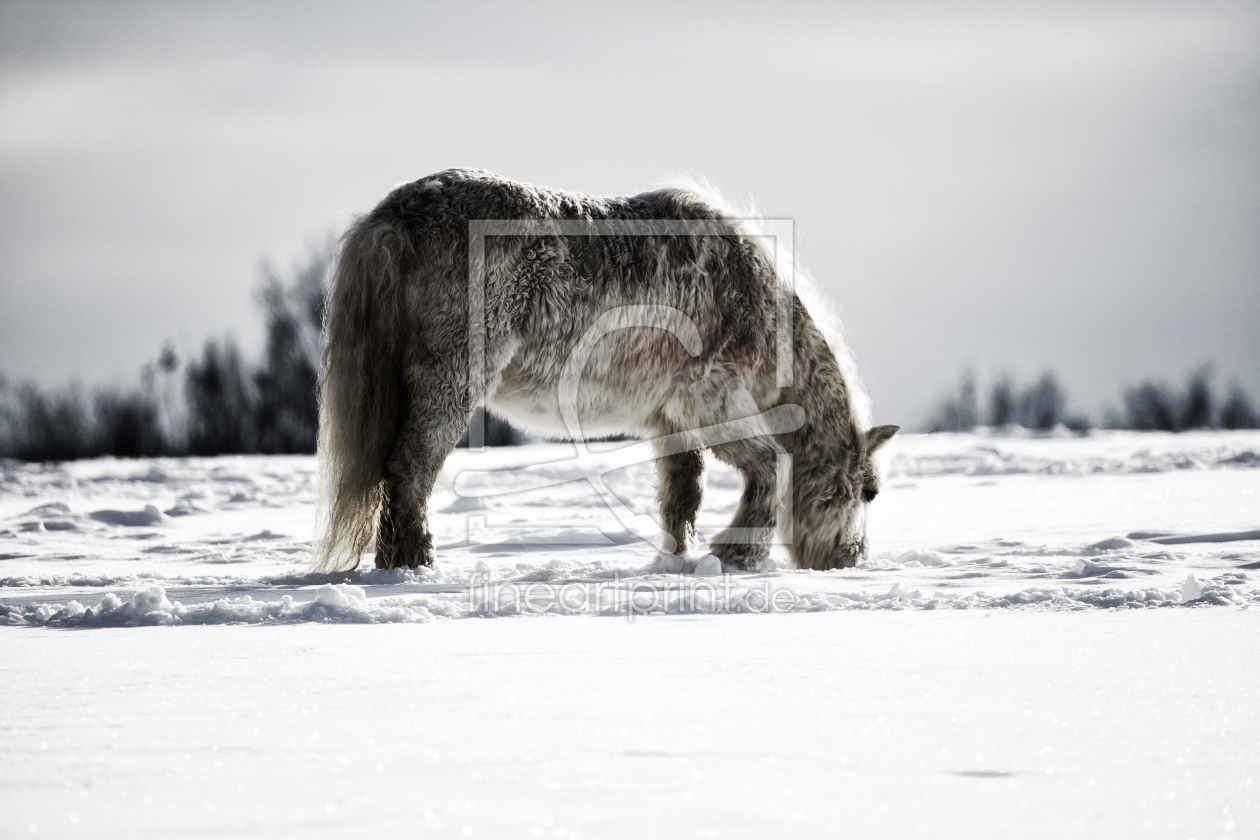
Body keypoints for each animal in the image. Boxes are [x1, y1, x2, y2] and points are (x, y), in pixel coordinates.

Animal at [313, 167, 897, 574]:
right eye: (868, 492)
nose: (851, 559)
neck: (748, 300)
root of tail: (391, 220)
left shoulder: (671, 422)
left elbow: (682, 497)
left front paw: (678, 562)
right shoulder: (709, 401)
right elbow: (771, 464)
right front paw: (737, 555)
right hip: (450, 383)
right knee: (410, 469)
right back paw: (417, 564)